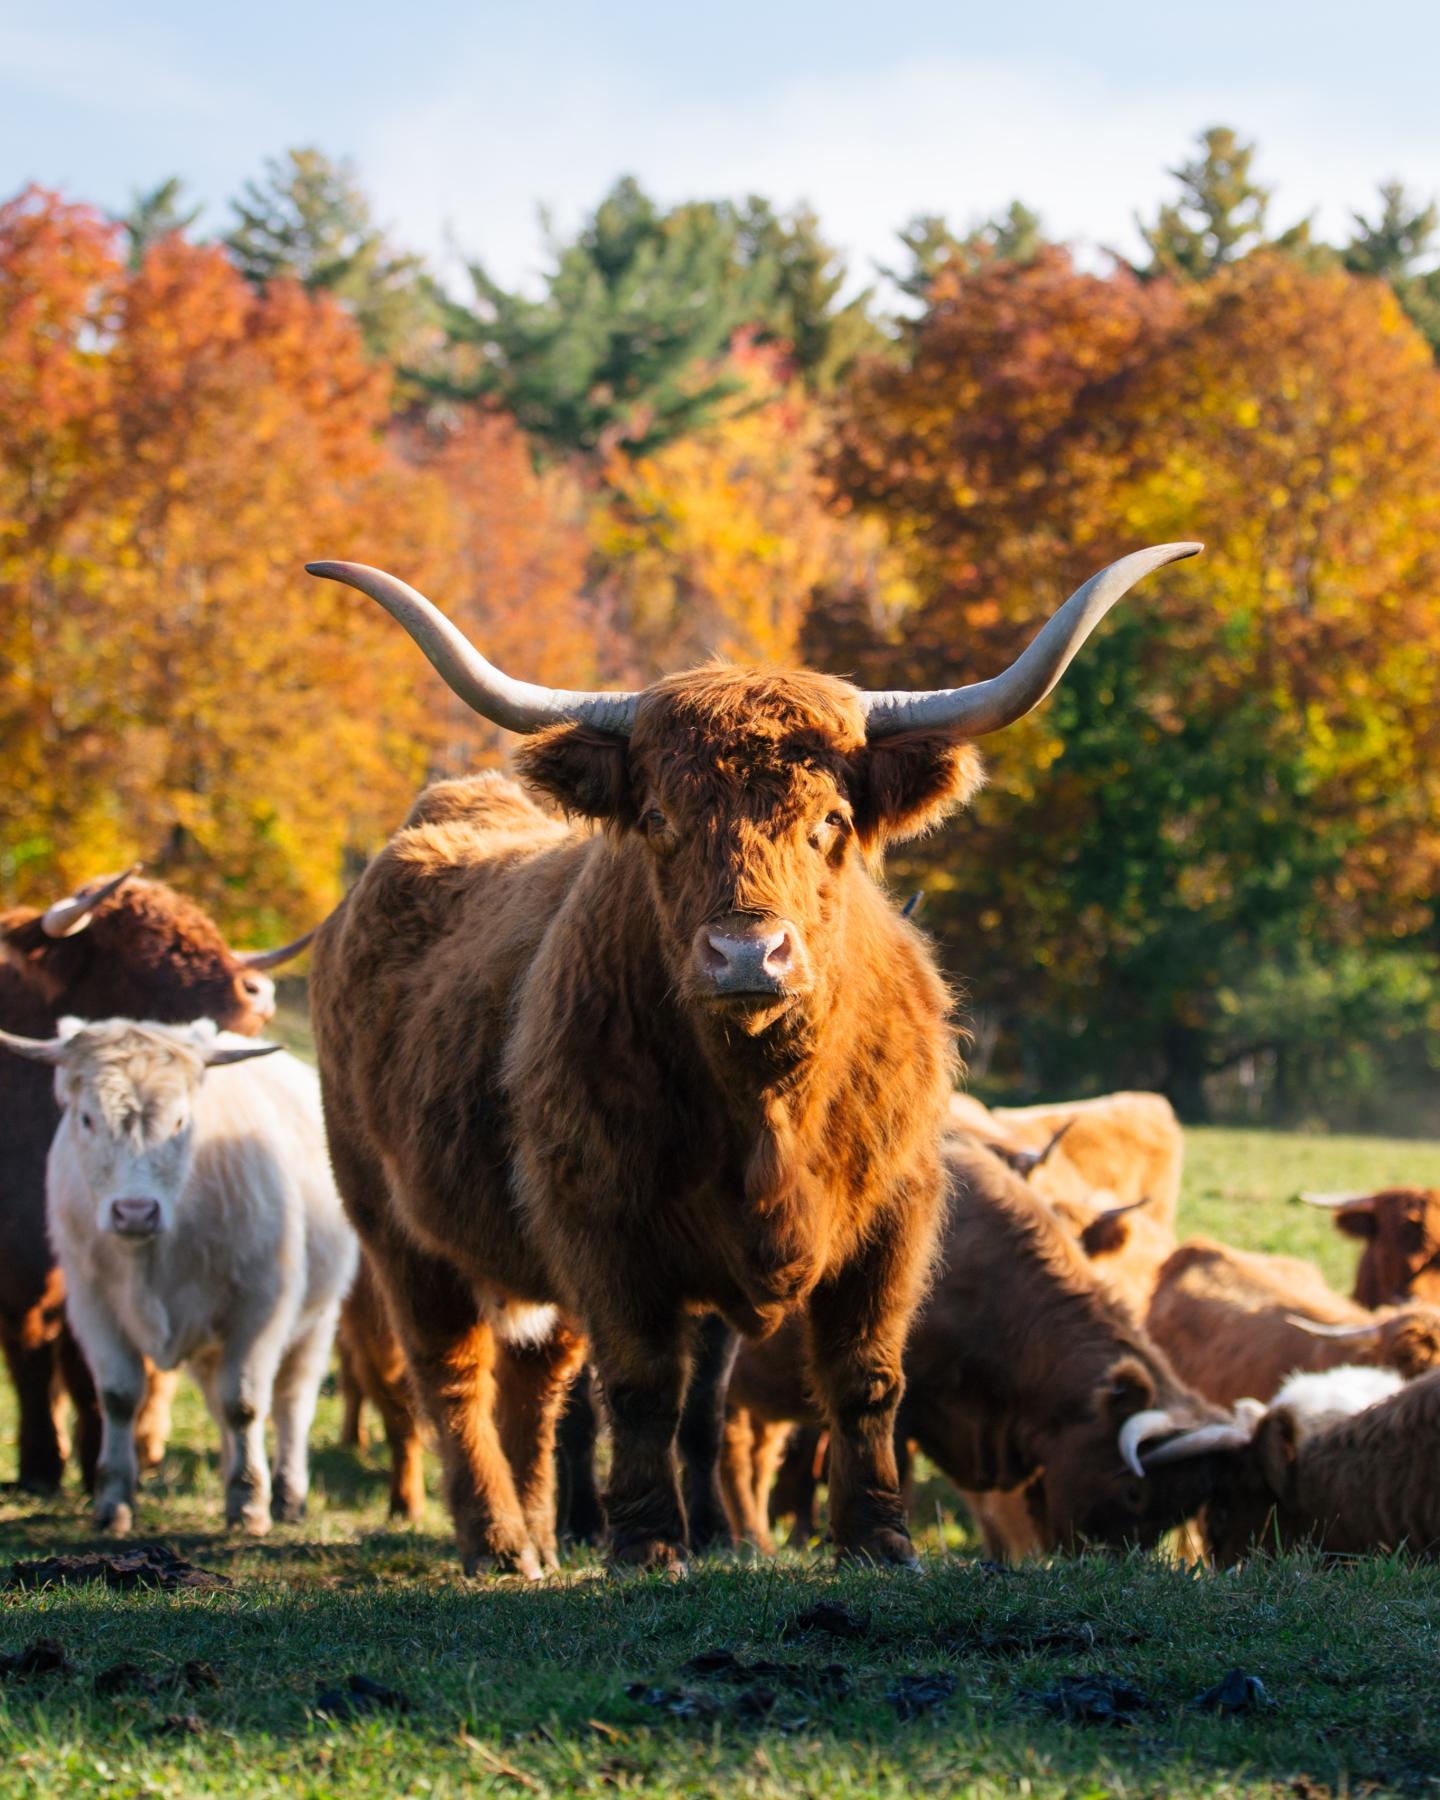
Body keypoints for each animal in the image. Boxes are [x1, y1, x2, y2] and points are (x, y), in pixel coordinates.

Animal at [0, 868, 313, 1491]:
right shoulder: (25, 1261)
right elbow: (33, 1354)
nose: (257, 992)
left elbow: (87, 1364)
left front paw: (97, 1459)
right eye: (141, 945)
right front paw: (43, 1461)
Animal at [0, 1017, 356, 1533]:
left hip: (318, 1318)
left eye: (180, 1121)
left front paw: (250, 1503)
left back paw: (288, 1496)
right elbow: (119, 1396)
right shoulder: (94, 1305)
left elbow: (244, 1402)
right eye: (86, 1119)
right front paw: (113, 1502)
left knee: (291, 1401)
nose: (134, 1211)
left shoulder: (261, 1307)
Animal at [720, 1137, 1246, 1559]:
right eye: (1134, 1493)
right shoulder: (909, 1410)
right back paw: (746, 1543)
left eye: (1172, 1518)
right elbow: (896, 1471)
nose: (1110, 1562)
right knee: (734, 1454)